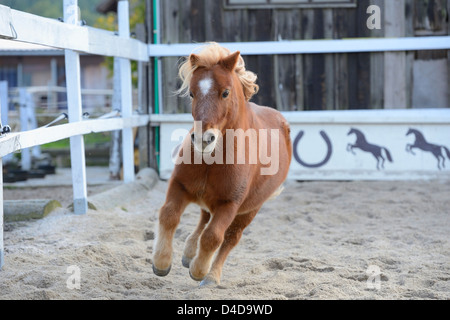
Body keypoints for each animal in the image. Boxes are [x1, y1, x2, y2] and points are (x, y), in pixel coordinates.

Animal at [151, 42, 292, 284]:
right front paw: (161, 262)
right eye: (192, 93)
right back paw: (189, 252)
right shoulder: (179, 185)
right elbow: (169, 216)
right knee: (204, 217)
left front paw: (199, 270)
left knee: (230, 237)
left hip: (250, 210)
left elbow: (214, 236)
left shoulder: (230, 204)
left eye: (225, 92)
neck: (213, 160)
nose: (202, 139)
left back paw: (212, 275)